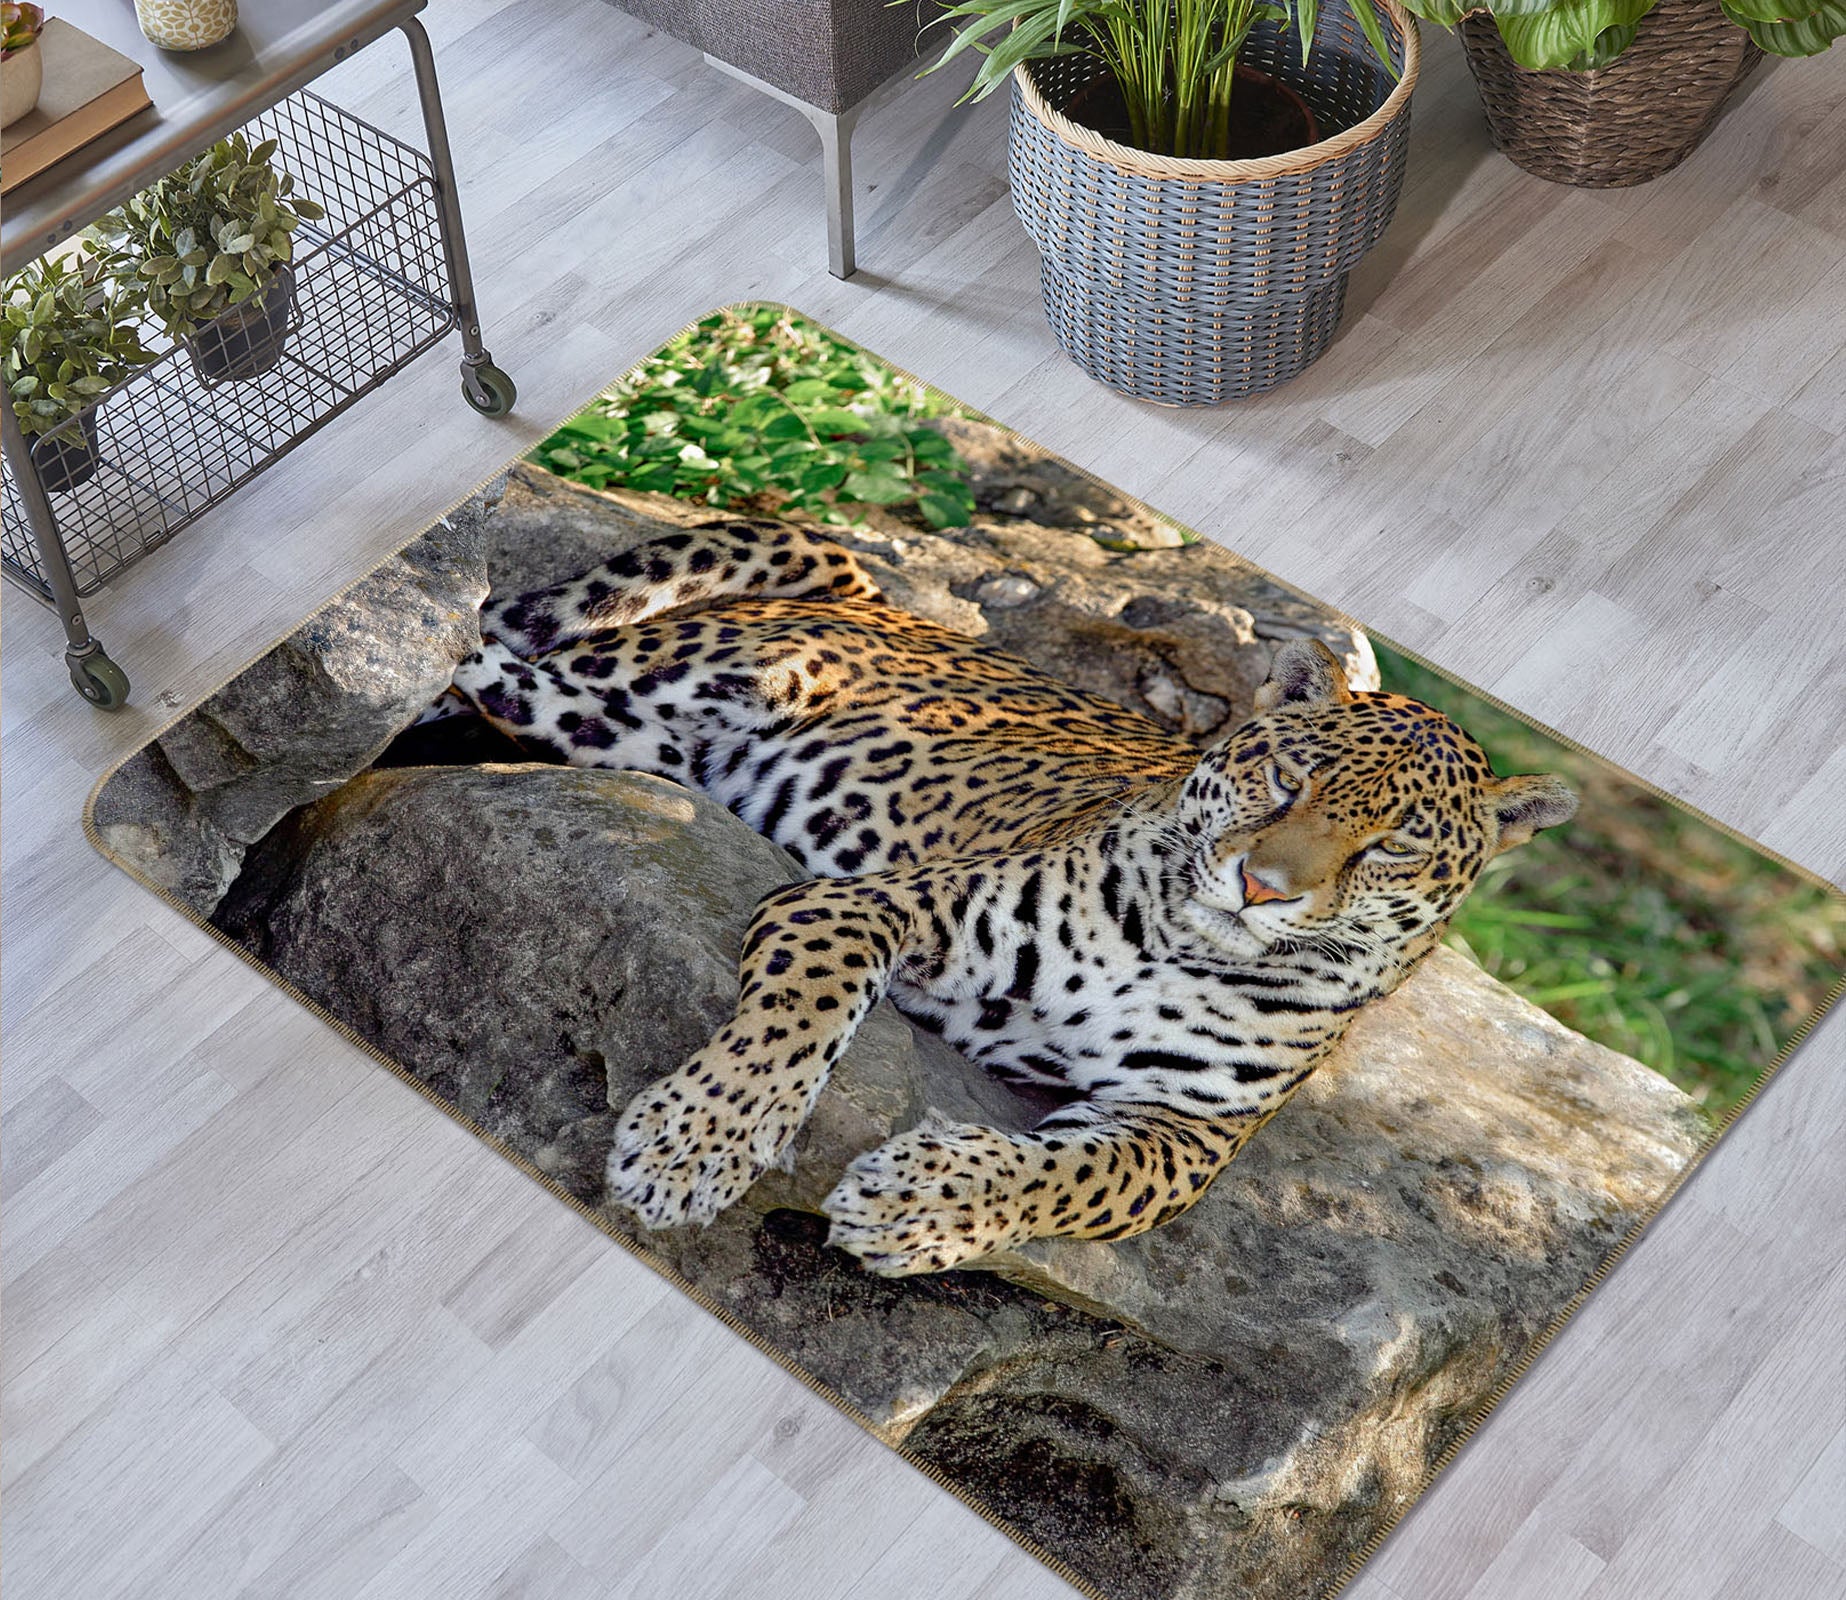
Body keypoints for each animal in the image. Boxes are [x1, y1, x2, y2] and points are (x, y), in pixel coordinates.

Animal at [440, 515, 1577, 1276]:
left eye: (1392, 843)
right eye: (1287, 779)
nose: (1260, 885)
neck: (1190, 949)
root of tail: (875, 597)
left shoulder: (1184, 1136)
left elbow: (1074, 1181)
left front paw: (914, 1206)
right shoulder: (863, 906)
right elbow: (795, 1022)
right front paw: (693, 1146)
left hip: (633, 740)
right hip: (651, 684)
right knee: (474, 660)